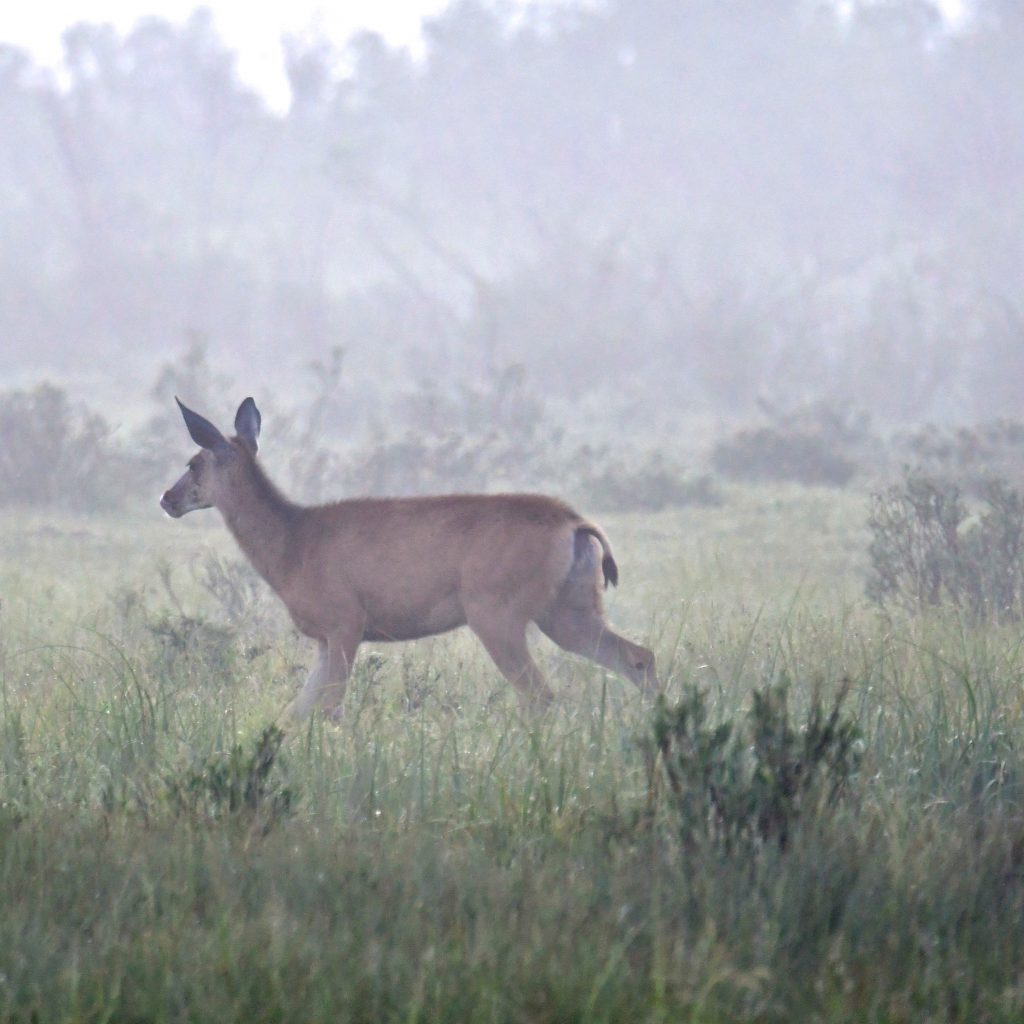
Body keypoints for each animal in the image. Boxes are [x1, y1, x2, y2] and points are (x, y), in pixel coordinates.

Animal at [159, 395, 655, 716]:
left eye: (193, 464)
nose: (167, 499)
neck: (291, 545)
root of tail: (574, 523)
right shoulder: (325, 638)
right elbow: (294, 712)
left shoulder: (344, 621)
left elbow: (329, 707)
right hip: (568, 607)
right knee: (638, 657)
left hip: (497, 610)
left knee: (540, 695)